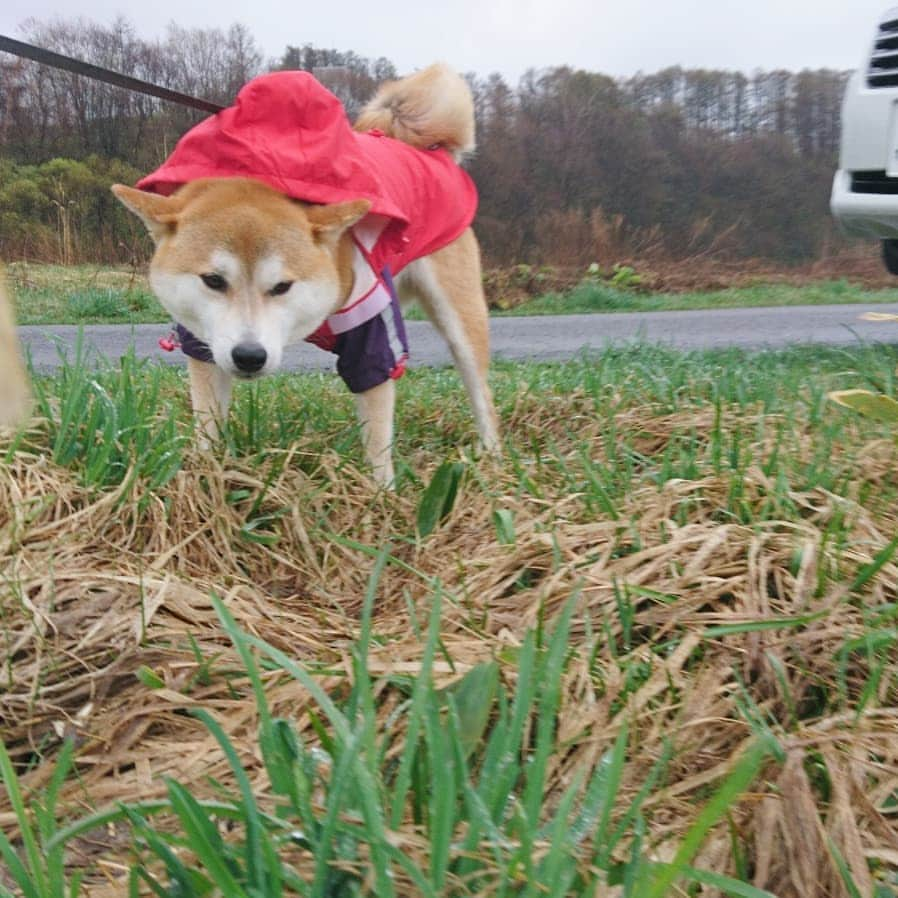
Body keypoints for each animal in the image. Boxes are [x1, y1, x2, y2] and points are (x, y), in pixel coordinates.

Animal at [112, 65, 496, 484]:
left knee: (482, 394)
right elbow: (208, 422)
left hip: (459, 314)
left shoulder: (372, 331)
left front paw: (381, 492)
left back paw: (492, 457)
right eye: (213, 281)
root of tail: (433, 151)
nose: (249, 356)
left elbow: (377, 433)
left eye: (282, 286)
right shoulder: (204, 341)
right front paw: (206, 478)